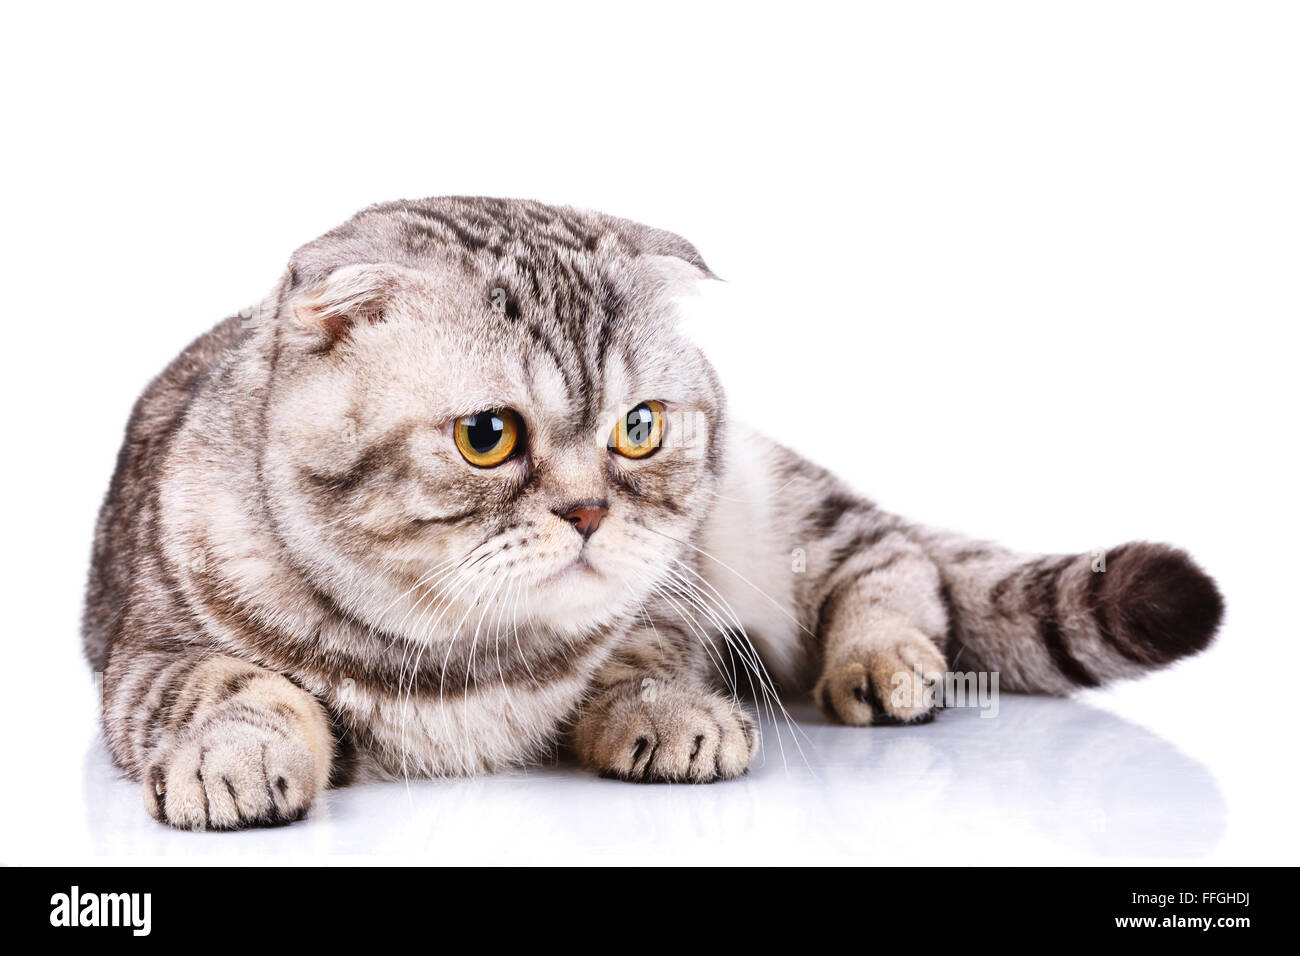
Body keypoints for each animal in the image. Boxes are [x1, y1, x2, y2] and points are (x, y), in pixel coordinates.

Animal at [86, 196, 1222, 832]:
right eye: (487, 435)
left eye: (637, 428)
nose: (590, 510)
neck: (473, 652)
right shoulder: (148, 654)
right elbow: (232, 683)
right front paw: (235, 754)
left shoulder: (669, 595)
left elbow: (644, 653)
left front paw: (667, 714)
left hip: (767, 514)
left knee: (892, 552)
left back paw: (883, 658)